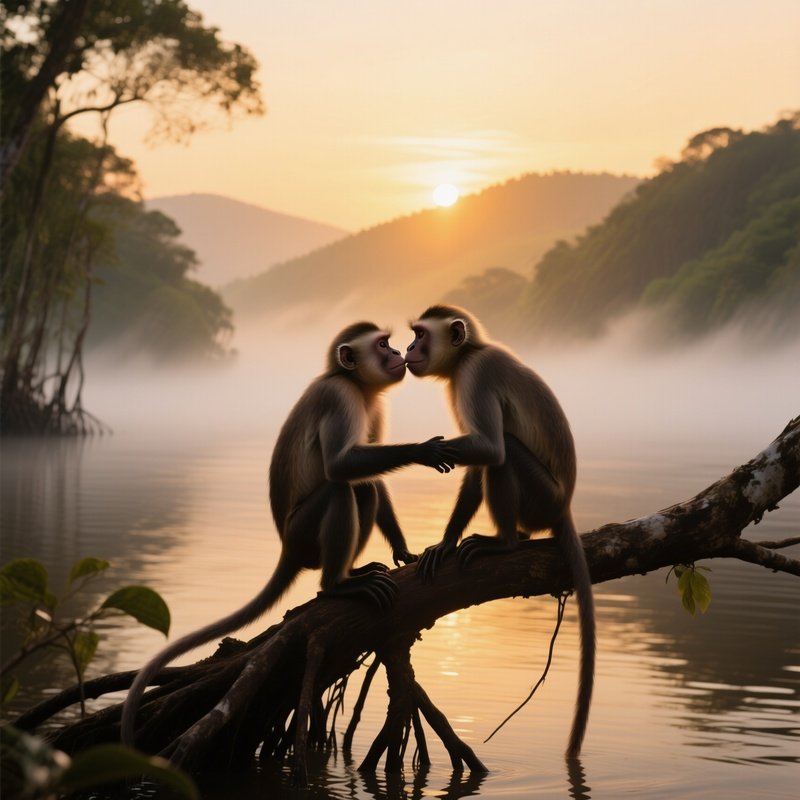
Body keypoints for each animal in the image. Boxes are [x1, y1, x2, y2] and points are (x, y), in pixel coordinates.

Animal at [121, 321, 455, 746]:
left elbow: (366, 472)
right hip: (303, 534)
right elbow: (342, 466)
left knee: (361, 488)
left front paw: (403, 551)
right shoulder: (339, 396)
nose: (398, 354)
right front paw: (423, 450)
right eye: (383, 344)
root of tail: (286, 547)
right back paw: (336, 584)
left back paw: (352, 572)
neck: (357, 386)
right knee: (341, 489)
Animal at [405, 304, 595, 760]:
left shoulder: (475, 375)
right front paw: (446, 542)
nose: (407, 349)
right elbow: (480, 463)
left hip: (540, 496)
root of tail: (564, 504)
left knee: (505, 453)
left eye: (421, 336)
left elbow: (491, 449)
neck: (468, 353)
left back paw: (506, 543)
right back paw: (517, 539)